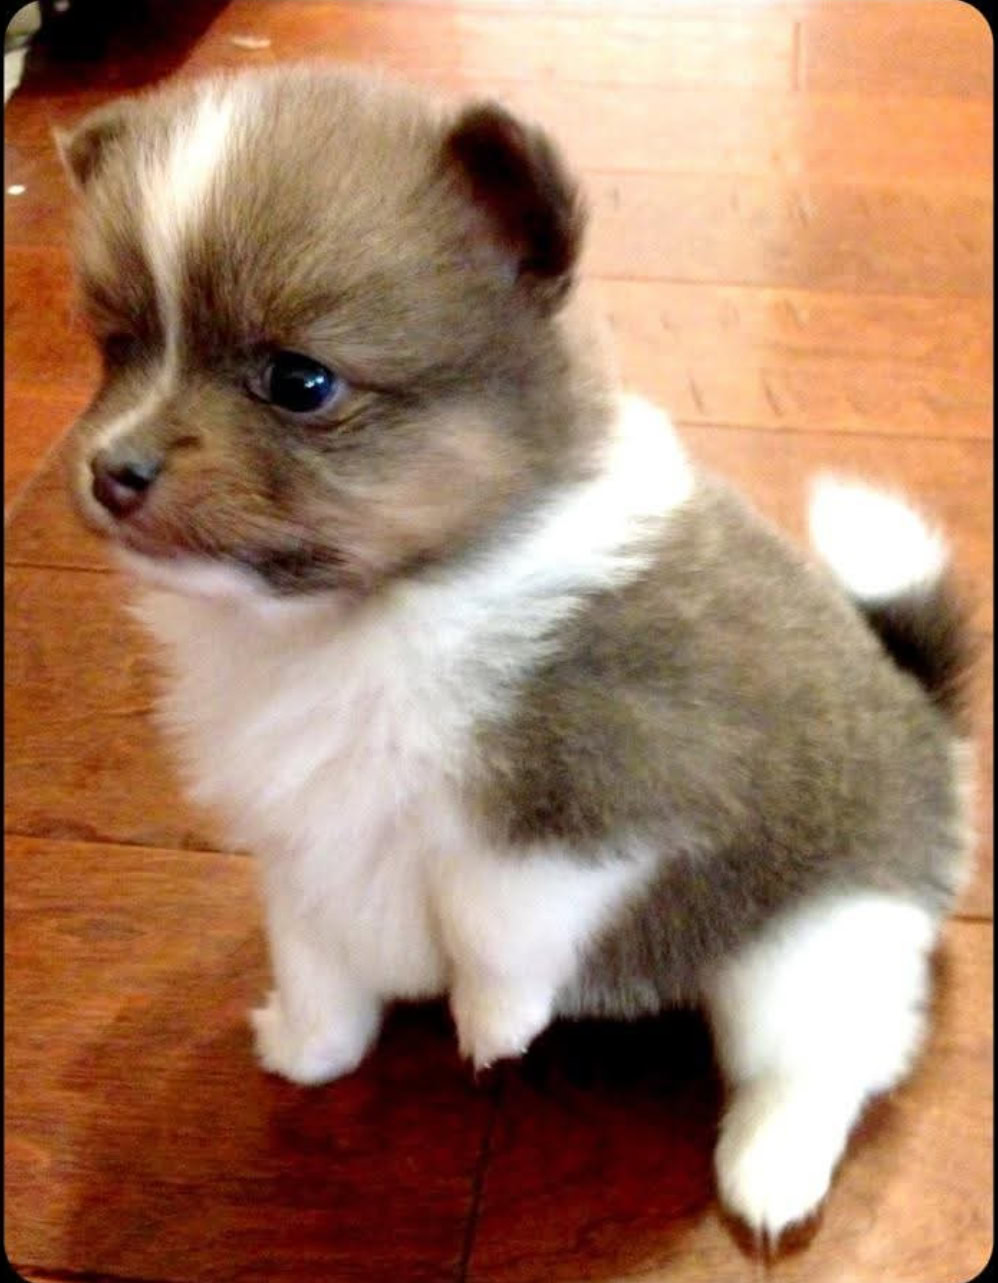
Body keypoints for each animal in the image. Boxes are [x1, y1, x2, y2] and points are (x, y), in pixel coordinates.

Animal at [56, 67, 969, 1241]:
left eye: (299, 382)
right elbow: (314, 957)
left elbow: (492, 913)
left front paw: (490, 1023)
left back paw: (771, 1170)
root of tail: (928, 718)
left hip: (812, 946)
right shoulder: (306, 838)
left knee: (821, 1060)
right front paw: (308, 1046)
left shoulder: (593, 804)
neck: (365, 617)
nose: (112, 469)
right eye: (116, 347)